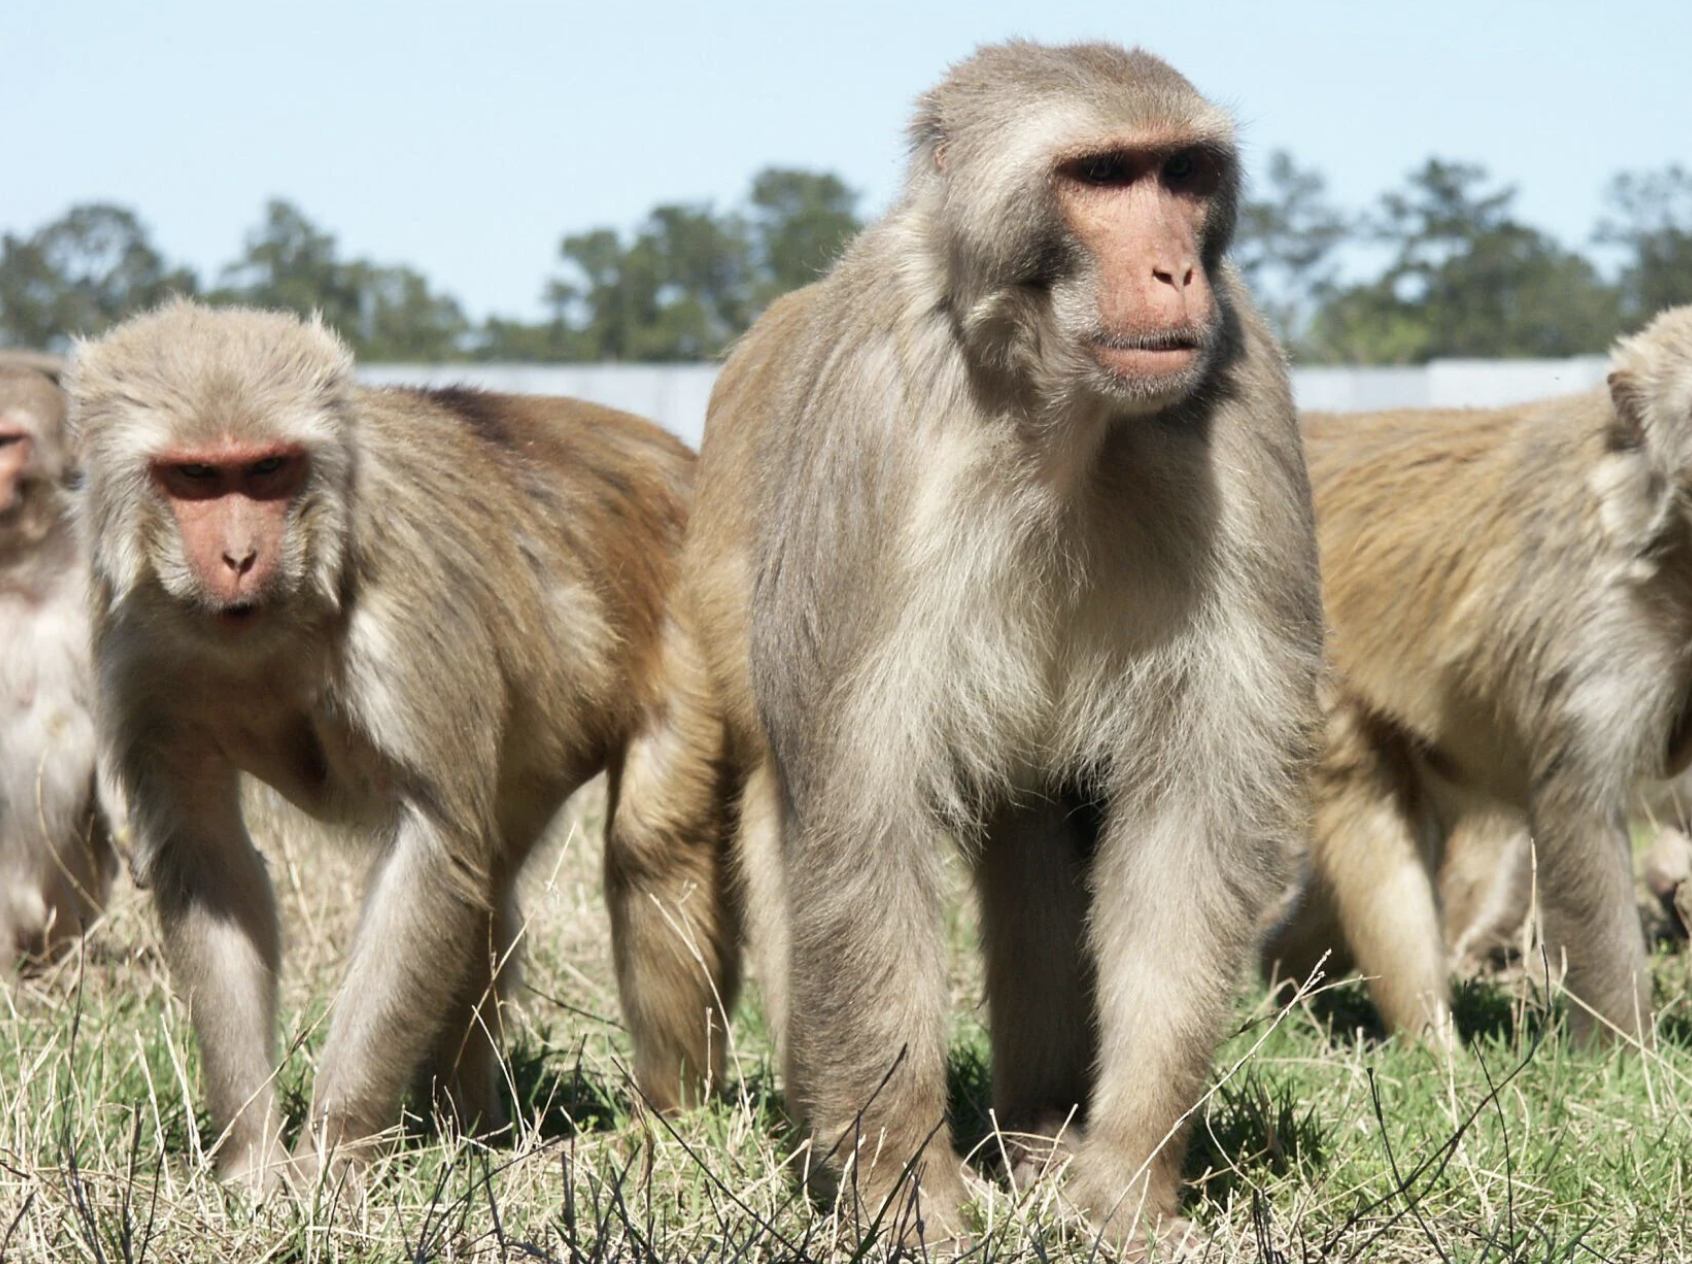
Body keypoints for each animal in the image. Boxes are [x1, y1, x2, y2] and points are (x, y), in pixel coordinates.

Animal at [65, 300, 735, 1189]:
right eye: (197, 477)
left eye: (267, 470)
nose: (240, 556)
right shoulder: (141, 643)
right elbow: (211, 865)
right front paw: (251, 1161)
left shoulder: (406, 601)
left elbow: (431, 847)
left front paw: (333, 1160)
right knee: (489, 890)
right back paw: (470, 1132)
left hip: (703, 618)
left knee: (647, 848)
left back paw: (664, 1123)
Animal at [675, 41, 1323, 1253]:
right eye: (1103, 175)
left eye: (1181, 173)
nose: (1176, 271)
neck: (1057, 411)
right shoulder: (878, 417)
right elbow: (862, 817)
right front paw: (907, 1199)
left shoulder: (1243, 388)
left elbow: (1192, 813)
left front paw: (1125, 1189)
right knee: (791, 814)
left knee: (1037, 826)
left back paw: (1040, 1129)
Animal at [1263, 304, 1692, 1045]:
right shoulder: (1590, 622)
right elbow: (1579, 810)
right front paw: (1625, 1051)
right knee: (1378, 835)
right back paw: (1434, 1046)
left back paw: (1278, 984)